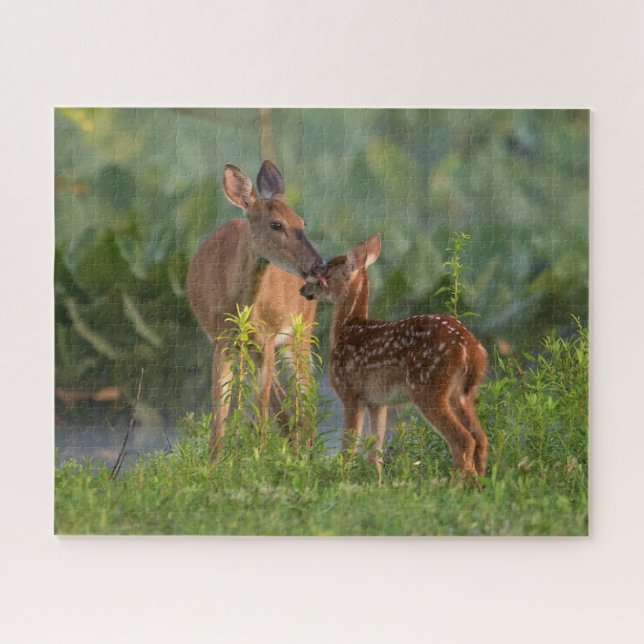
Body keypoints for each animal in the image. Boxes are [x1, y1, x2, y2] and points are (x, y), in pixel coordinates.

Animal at [186, 161, 325, 461]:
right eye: (276, 224)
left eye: (302, 222)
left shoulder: (269, 337)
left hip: (301, 331)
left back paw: (306, 452)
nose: (318, 265)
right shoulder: (222, 340)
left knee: (305, 389)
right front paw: (215, 463)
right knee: (282, 399)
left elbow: (260, 409)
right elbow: (221, 411)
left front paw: (259, 457)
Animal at [300, 233, 488, 485]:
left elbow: (349, 446)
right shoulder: (378, 401)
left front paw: (342, 480)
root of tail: (471, 348)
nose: (303, 289)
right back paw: (479, 485)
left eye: (324, 276)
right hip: (461, 393)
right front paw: (376, 484)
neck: (347, 329)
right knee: (480, 437)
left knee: (464, 440)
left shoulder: (350, 392)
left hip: (428, 387)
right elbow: (375, 449)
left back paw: (454, 486)